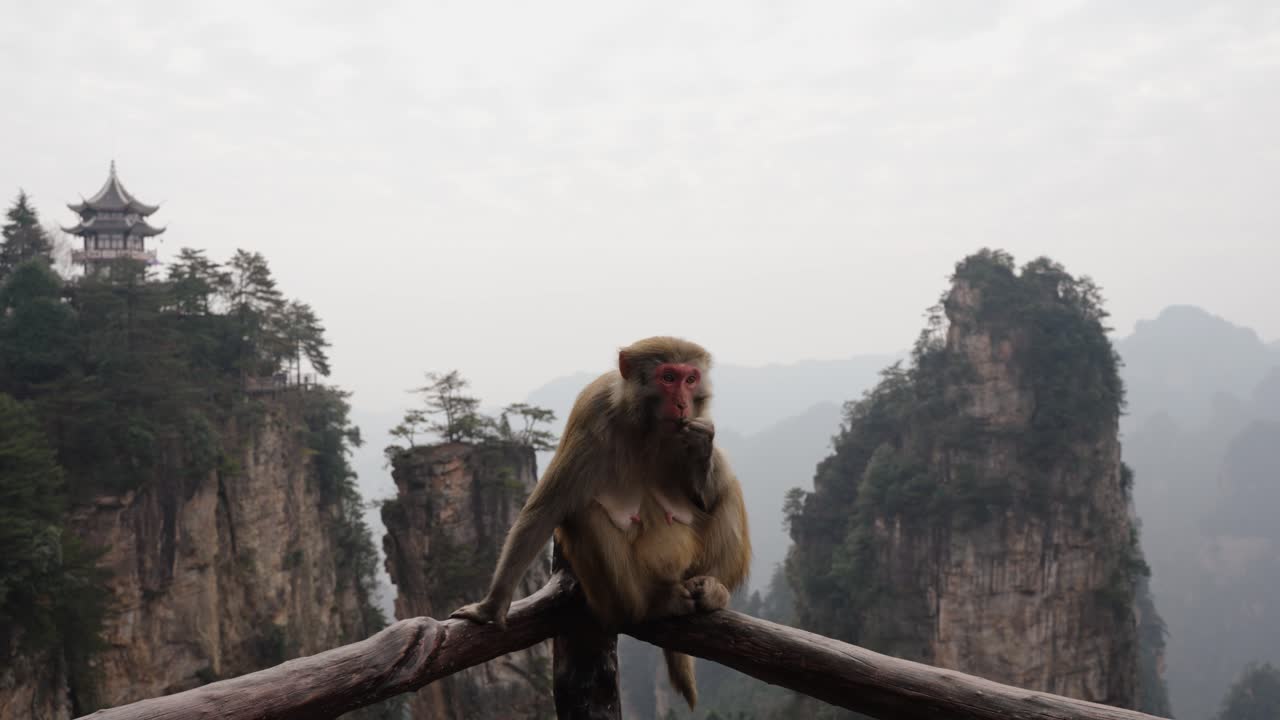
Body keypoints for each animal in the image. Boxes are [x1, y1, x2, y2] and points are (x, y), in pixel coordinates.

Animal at [451, 336, 751, 709]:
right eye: (668, 378)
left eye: (691, 378)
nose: (682, 403)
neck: (646, 425)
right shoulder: (590, 413)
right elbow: (544, 511)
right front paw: (490, 609)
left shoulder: (698, 420)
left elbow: (707, 496)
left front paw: (701, 447)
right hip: (625, 587)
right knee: (582, 515)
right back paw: (649, 608)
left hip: (692, 564)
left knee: (727, 488)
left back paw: (714, 588)